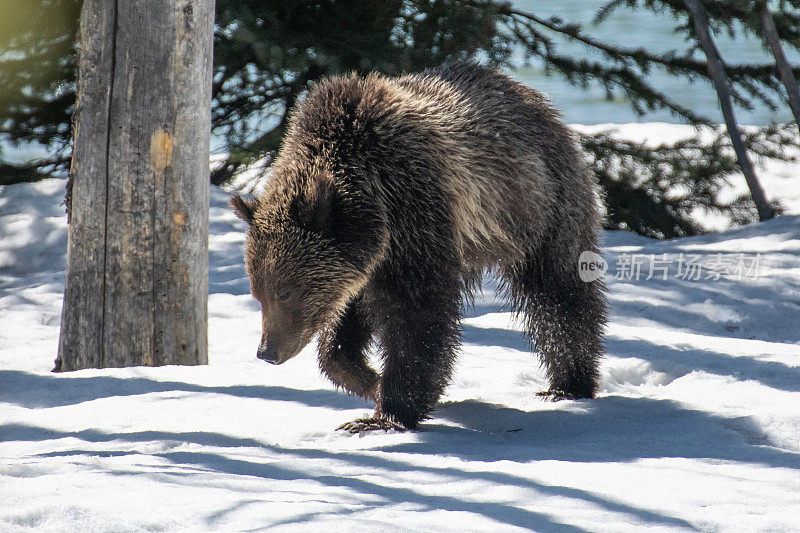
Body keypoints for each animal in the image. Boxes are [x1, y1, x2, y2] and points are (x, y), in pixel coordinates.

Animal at [231, 61, 608, 432]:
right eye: (257, 293)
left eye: (286, 292)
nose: (267, 352)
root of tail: (534, 98)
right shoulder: (364, 264)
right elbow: (347, 323)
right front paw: (370, 380)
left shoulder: (416, 213)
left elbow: (417, 314)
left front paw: (388, 412)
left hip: (541, 206)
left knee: (559, 292)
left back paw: (568, 383)